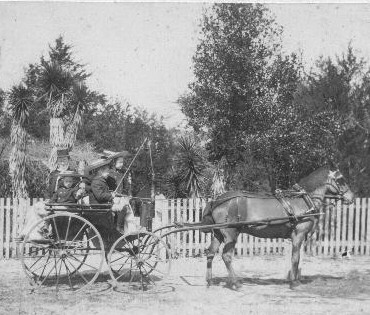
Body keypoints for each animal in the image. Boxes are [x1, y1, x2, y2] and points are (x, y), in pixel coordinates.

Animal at [202, 167, 356, 290]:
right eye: (341, 180)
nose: (352, 197)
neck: (303, 200)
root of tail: (216, 201)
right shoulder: (298, 235)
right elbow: (295, 258)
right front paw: (294, 283)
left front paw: (295, 280)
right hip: (231, 234)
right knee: (227, 256)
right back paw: (236, 283)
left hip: (218, 234)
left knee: (210, 253)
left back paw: (209, 281)